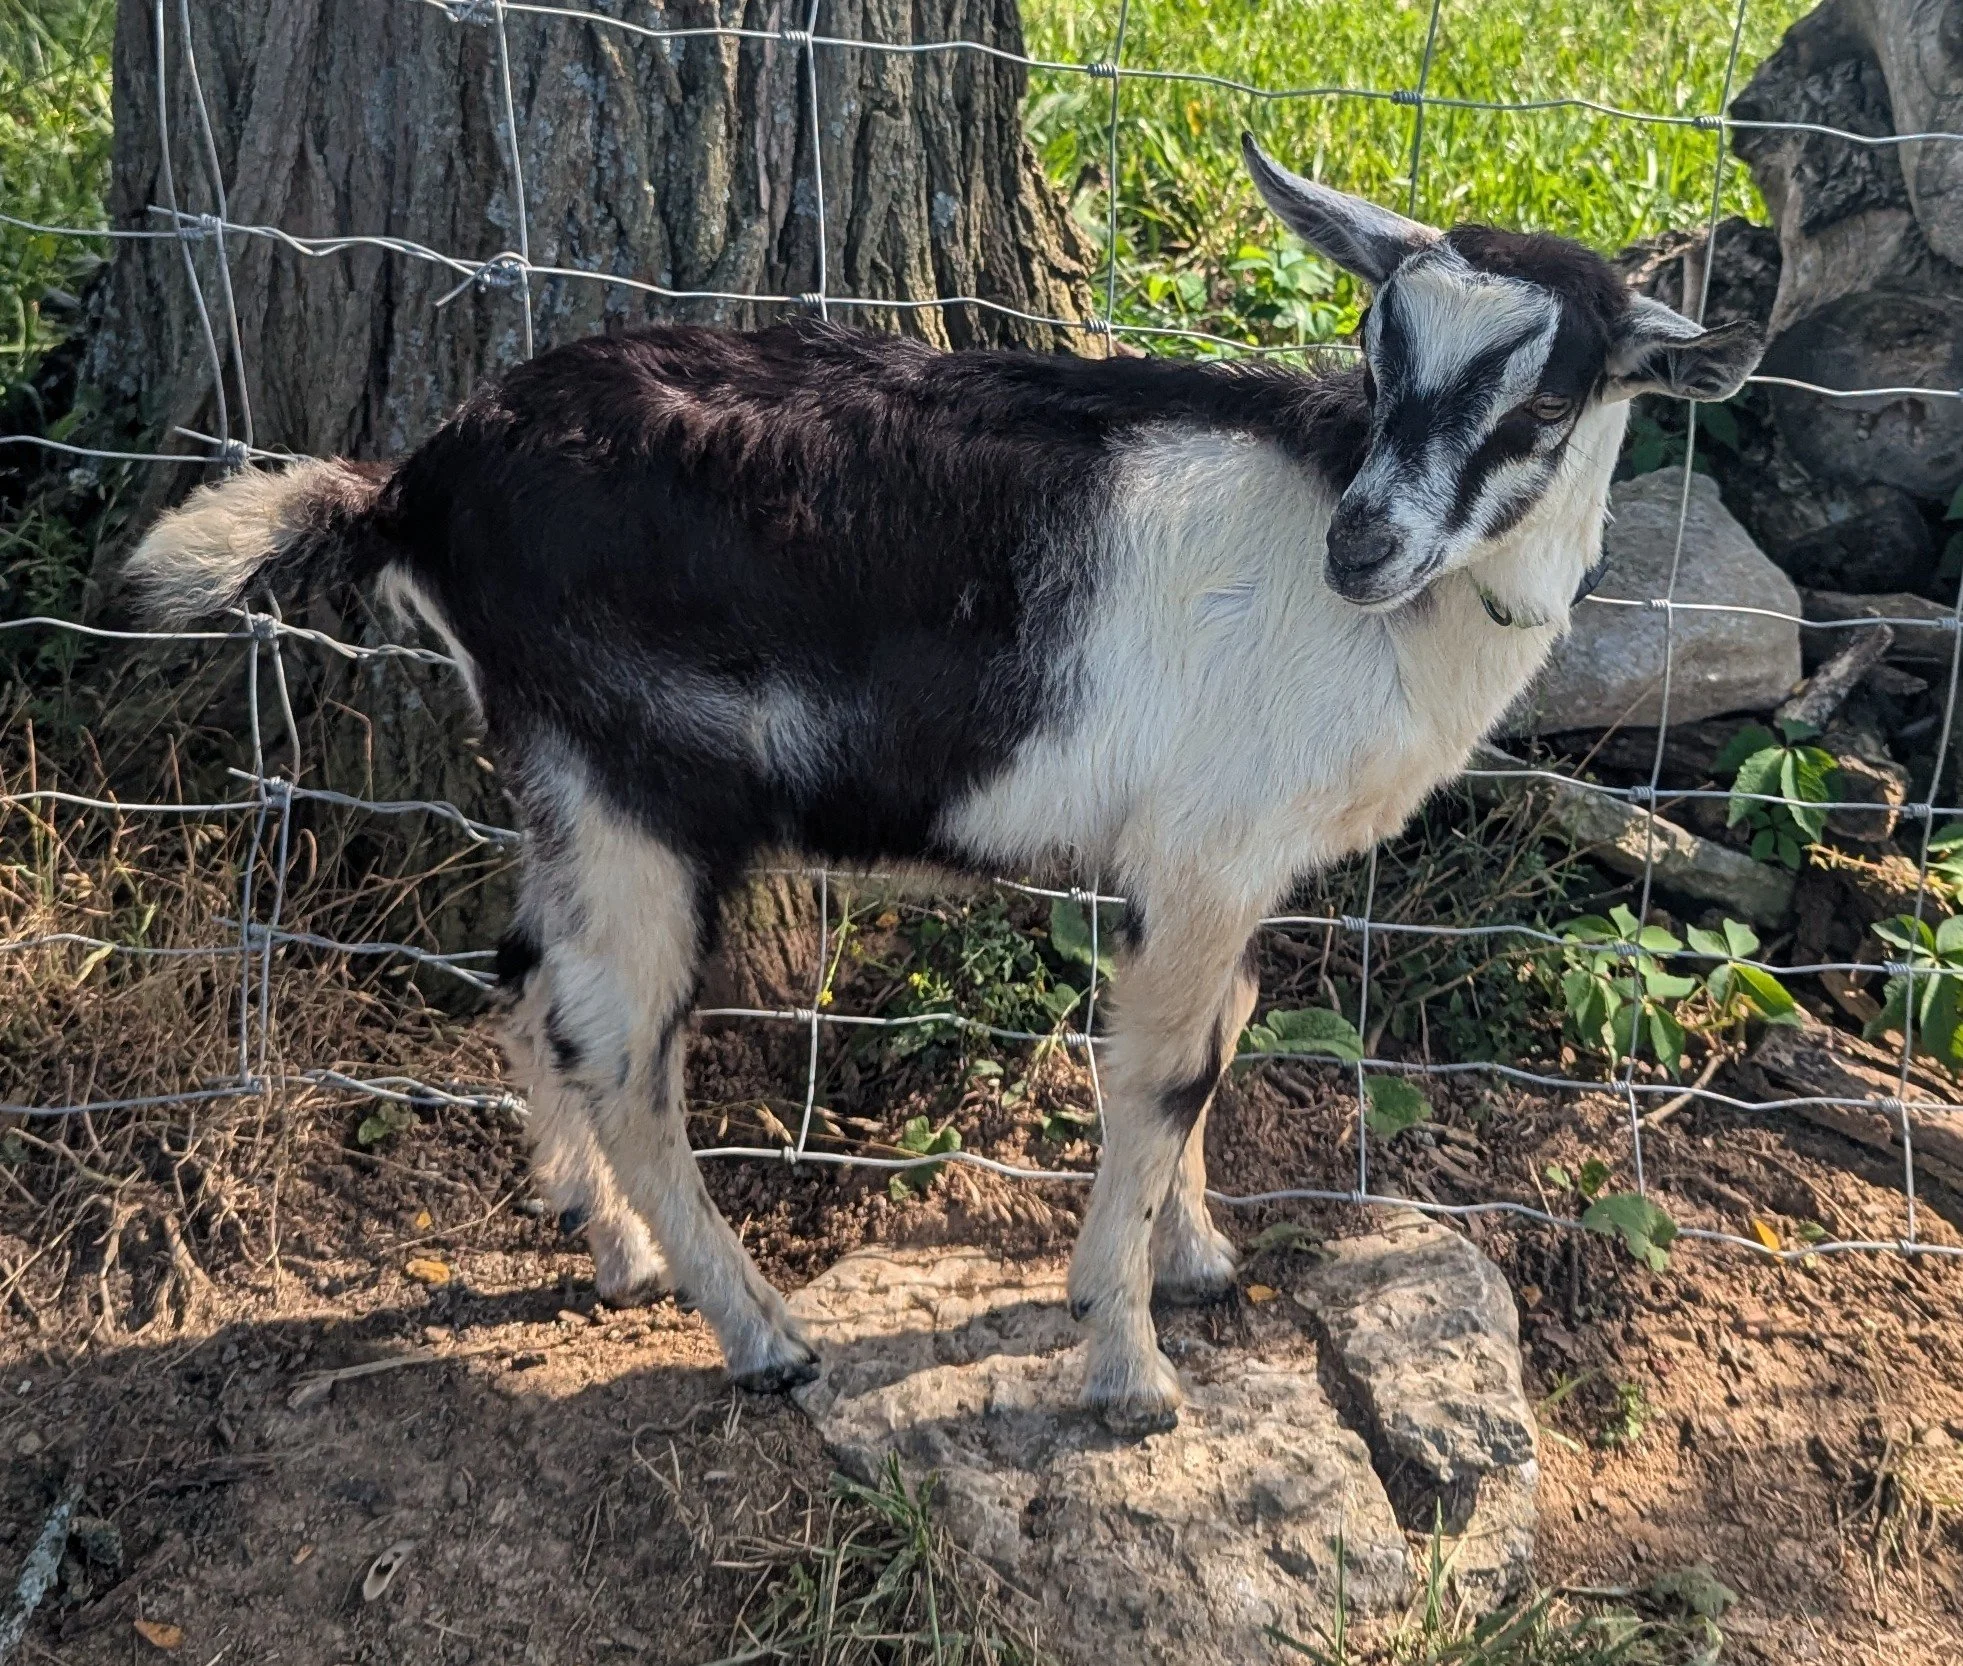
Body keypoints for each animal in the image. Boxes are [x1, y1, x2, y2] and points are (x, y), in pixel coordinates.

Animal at [126, 138, 1762, 1434]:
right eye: (1376, 357)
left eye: (1540, 407)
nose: (1359, 545)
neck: (1387, 630)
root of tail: (415, 483)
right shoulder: (1201, 859)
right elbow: (1158, 1076)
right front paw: (1125, 1366)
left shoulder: (1223, 875)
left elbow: (1222, 1039)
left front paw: (1196, 1259)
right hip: (640, 793)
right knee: (619, 1043)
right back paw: (760, 1334)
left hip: (560, 780)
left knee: (526, 974)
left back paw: (607, 1241)